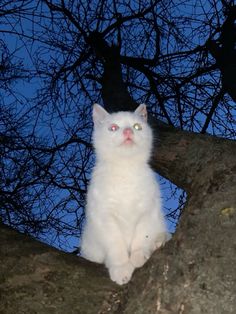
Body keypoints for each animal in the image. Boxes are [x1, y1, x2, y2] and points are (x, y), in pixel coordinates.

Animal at [80, 103, 170, 284]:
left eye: (137, 126)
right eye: (113, 127)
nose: (128, 131)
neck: (125, 170)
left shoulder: (148, 210)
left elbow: (142, 235)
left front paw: (138, 256)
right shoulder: (104, 217)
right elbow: (116, 244)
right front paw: (121, 268)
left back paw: (159, 240)